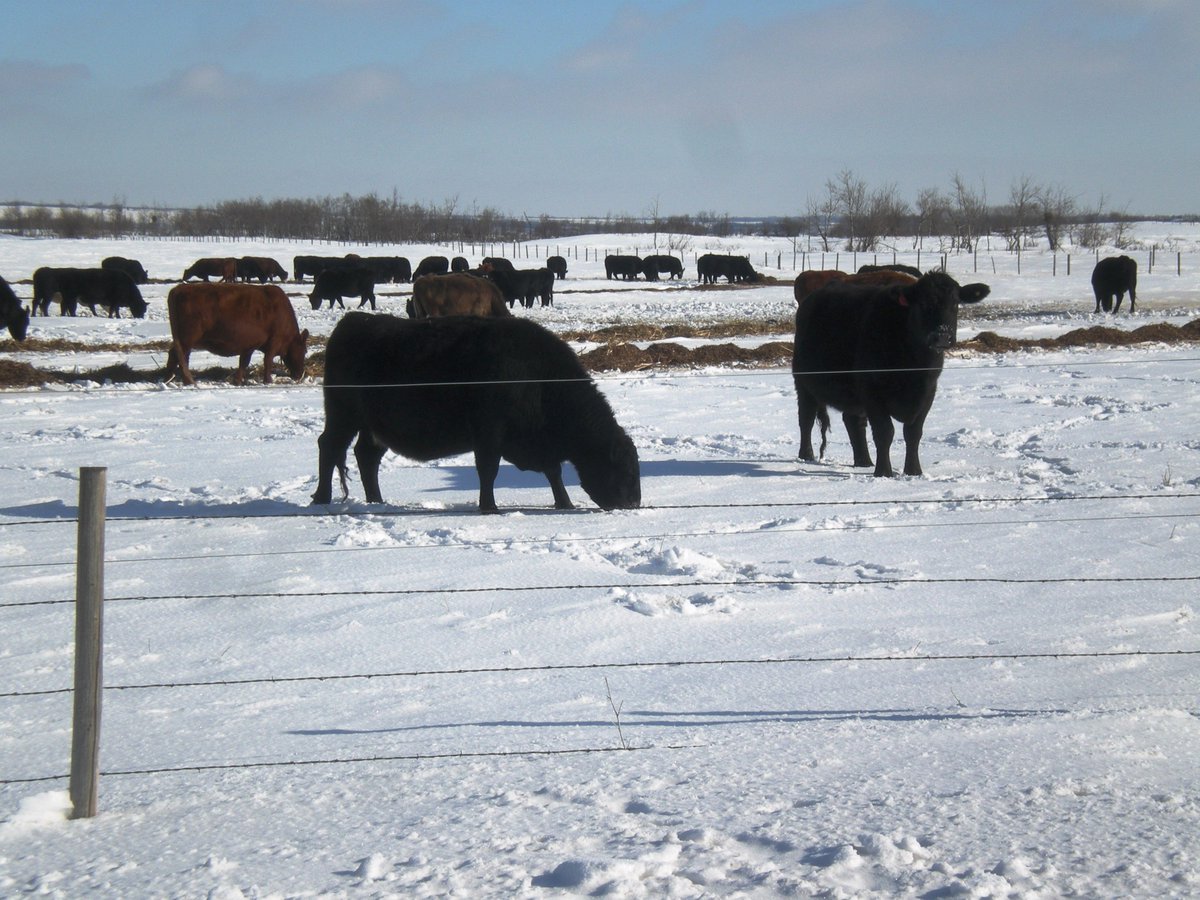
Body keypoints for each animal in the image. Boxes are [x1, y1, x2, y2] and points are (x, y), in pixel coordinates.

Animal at [165, 282, 309, 386]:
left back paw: (168, 378)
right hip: (187, 339)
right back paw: (186, 381)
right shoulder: (274, 341)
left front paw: (238, 380)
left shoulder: (250, 345)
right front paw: (268, 380)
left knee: (175, 355)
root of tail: (178, 289)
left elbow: (244, 362)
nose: (299, 374)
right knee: (180, 356)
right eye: (304, 350)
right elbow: (268, 360)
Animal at [311, 312, 641, 513]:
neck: (538, 378)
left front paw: (565, 503)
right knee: (329, 447)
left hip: (372, 427)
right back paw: (321, 498)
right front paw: (489, 507)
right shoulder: (489, 433)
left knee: (366, 456)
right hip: (342, 416)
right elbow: (488, 469)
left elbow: (554, 472)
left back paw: (377, 502)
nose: (634, 503)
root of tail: (353, 320)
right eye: (624, 467)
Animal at [792, 271, 989, 477]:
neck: (914, 368)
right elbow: (884, 432)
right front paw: (884, 472)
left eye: (955, 303)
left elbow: (913, 433)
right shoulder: (873, 393)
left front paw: (914, 471)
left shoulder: (928, 393)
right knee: (806, 418)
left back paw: (864, 461)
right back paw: (806, 456)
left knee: (854, 422)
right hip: (803, 383)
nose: (942, 336)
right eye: (923, 303)